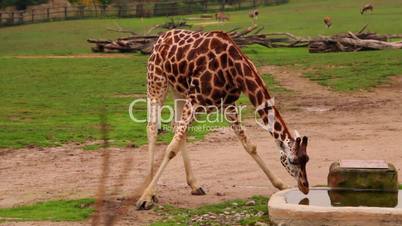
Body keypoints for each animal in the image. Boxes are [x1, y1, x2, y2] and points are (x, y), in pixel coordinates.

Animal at [137, 29, 310, 209]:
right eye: (292, 160)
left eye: (307, 159)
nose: (305, 187)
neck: (234, 69)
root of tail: (161, 38)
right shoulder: (195, 99)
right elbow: (171, 148)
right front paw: (146, 197)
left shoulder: (227, 104)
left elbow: (249, 145)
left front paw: (280, 184)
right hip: (156, 81)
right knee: (152, 127)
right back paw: (152, 192)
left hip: (178, 90)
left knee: (174, 125)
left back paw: (195, 185)